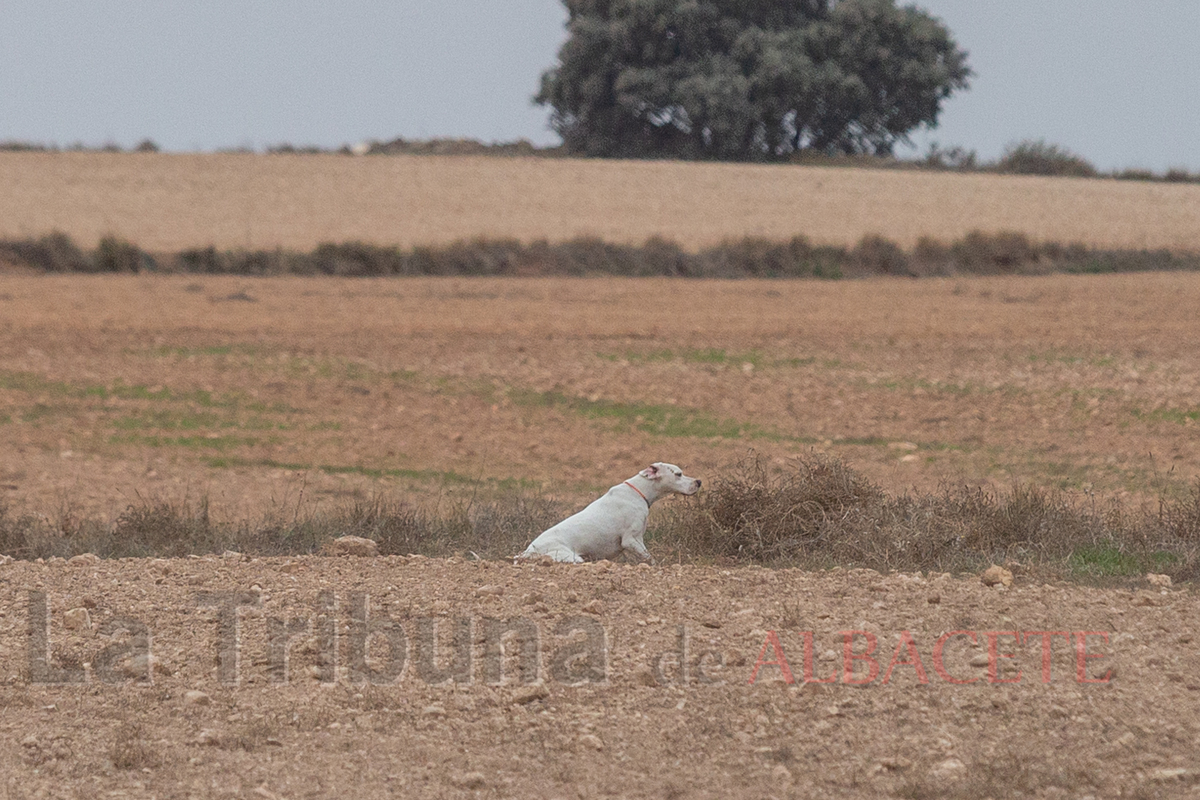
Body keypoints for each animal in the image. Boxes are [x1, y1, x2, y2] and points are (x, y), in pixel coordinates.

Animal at [518, 460, 700, 566]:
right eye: (678, 474)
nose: (699, 481)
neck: (638, 492)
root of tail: (528, 552)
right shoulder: (631, 540)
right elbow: (649, 558)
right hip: (572, 558)